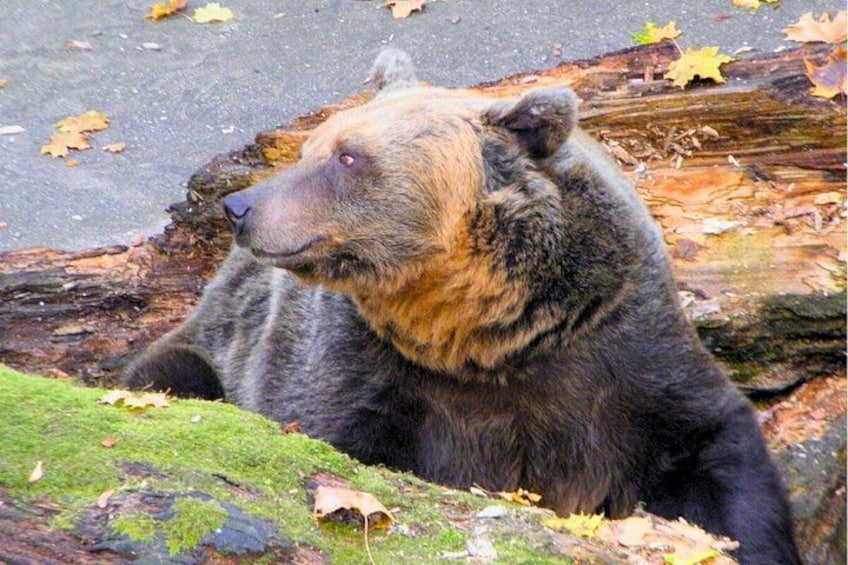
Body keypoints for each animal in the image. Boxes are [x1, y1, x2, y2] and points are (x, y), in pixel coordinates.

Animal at [125, 48, 800, 564]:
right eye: (312, 148)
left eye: (348, 156)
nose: (241, 208)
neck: (480, 336)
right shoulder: (371, 371)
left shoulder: (616, 345)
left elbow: (713, 451)